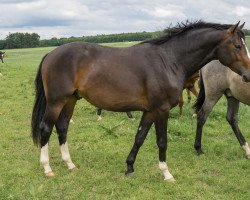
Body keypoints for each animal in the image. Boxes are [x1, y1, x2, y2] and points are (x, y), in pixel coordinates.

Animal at [31, 20, 250, 181]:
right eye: (238, 46)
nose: (248, 76)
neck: (169, 61)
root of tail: (51, 53)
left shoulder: (150, 111)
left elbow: (140, 137)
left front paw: (129, 167)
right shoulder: (161, 110)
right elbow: (161, 141)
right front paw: (166, 173)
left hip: (70, 100)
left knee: (62, 127)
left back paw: (69, 164)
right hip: (56, 102)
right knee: (46, 128)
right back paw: (47, 168)